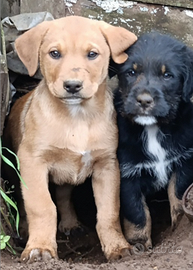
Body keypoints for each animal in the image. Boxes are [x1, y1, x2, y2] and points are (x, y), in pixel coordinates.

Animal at [2, 15, 136, 262]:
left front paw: (117, 246)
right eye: (54, 53)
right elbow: (42, 206)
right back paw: (25, 230)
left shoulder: (107, 165)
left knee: (64, 195)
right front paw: (40, 248)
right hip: (13, 169)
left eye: (92, 54)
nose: (72, 85)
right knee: (22, 202)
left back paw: (71, 223)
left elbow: (109, 211)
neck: (77, 118)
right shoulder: (32, 161)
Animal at [110, 32, 193, 250]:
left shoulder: (184, 162)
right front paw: (139, 243)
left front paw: (178, 226)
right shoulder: (127, 175)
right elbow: (137, 213)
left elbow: (177, 194)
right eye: (131, 72)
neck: (152, 128)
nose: (144, 100)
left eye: (167, 75)